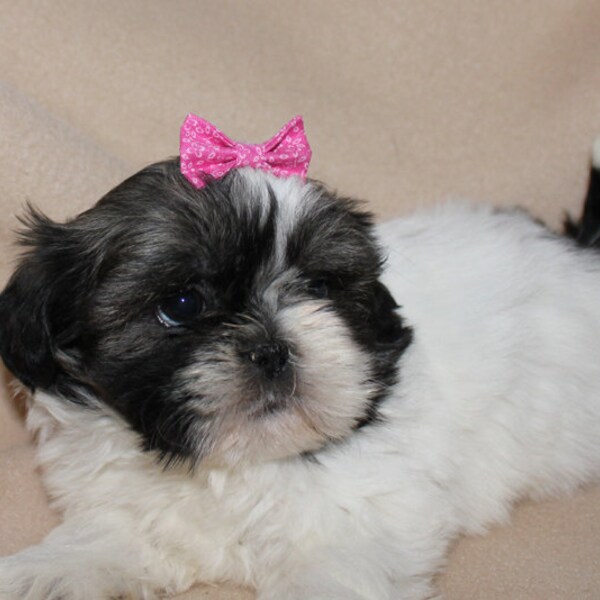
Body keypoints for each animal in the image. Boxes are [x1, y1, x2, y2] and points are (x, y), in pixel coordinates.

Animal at [1, 116, 600, 600]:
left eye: (319, 287)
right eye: (181, 304)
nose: (271, 349)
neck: (233, 464)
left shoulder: (366, 519)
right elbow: (112, 533)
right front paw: (50, 570)